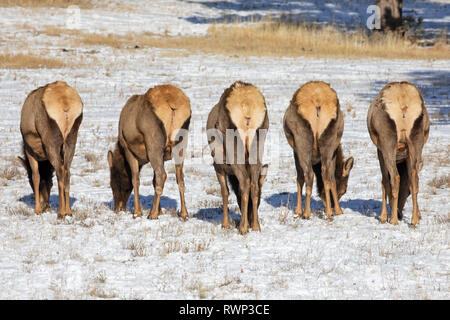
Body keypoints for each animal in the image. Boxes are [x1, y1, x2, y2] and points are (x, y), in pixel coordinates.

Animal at [18, 81, 83, 219]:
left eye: (28, 181)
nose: (45, 205)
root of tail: (65, 105)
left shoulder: (29, 149)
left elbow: (36, 176)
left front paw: (37, 209)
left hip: (51, 140)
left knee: (60, 171)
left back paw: (61, 212)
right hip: (71, 138)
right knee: (67, 171)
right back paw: (68, 211)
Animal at [108, 84, 191, 220]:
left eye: (113, 182)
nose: (117, 208)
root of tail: (172, 105)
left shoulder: (128, 150)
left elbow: (135, 179)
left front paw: (137, 212)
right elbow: (152, 180)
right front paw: (159, 210)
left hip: (153, 142)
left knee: (162, 175)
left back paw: (152, 215)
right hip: (181, 143)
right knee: (180, 177)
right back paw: (184, 213)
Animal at [207, 81, 268, 234]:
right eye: (259, 203)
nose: (251, 221)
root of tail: (246, 105)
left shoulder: (219, 166)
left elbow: (225, 192)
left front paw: (225, 224)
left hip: (234, 143)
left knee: (245, 182)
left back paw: (243, 228)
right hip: (258, 142)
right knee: (254, 185)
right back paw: (256, 227)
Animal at [284, 80, 356, 220]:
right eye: (344, 190)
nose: (331, 205)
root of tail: (318, 103)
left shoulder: (295, 150)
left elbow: (299, 178)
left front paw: (298, 210)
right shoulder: (334, 150)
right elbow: (332, 178)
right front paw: (338, 210)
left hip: (302, 140)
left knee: (309, 174)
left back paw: (306, 213)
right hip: (330, 138)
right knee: (327, 174)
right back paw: (331, 213)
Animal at [368, 81, 430, 225]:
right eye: (407, 192)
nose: (400, 214)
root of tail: (403, 103)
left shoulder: (380, 150)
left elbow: (384, 181)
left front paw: (383, 217)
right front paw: (419, 215)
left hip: (388, 141)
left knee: (395, 177)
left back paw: (393, 220)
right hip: (416, 140)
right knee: (414, 178)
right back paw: (413, 220)